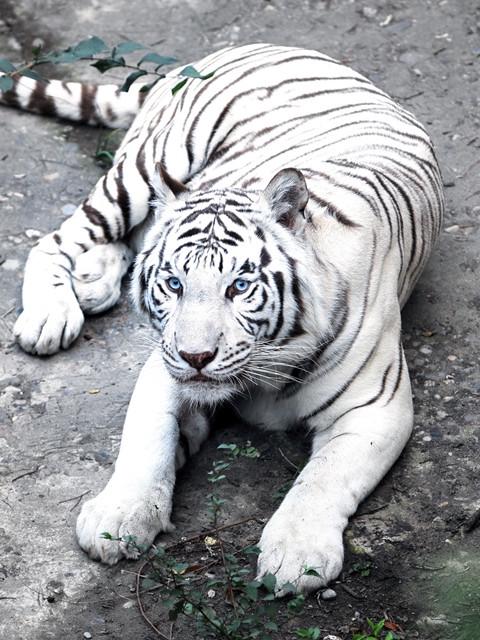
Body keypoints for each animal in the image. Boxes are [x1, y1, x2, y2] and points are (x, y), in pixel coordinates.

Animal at [1, 43, 444, 595]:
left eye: (239, 286)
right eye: (174, 284)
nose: (196, 357)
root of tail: (264, 45)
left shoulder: (376, 409)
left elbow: (321, 478)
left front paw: (298, 558)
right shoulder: (163, 370)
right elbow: (147, 443)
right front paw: (118, 517)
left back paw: (94, 280)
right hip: (145, 167)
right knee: (60, 237)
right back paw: (52, 313)